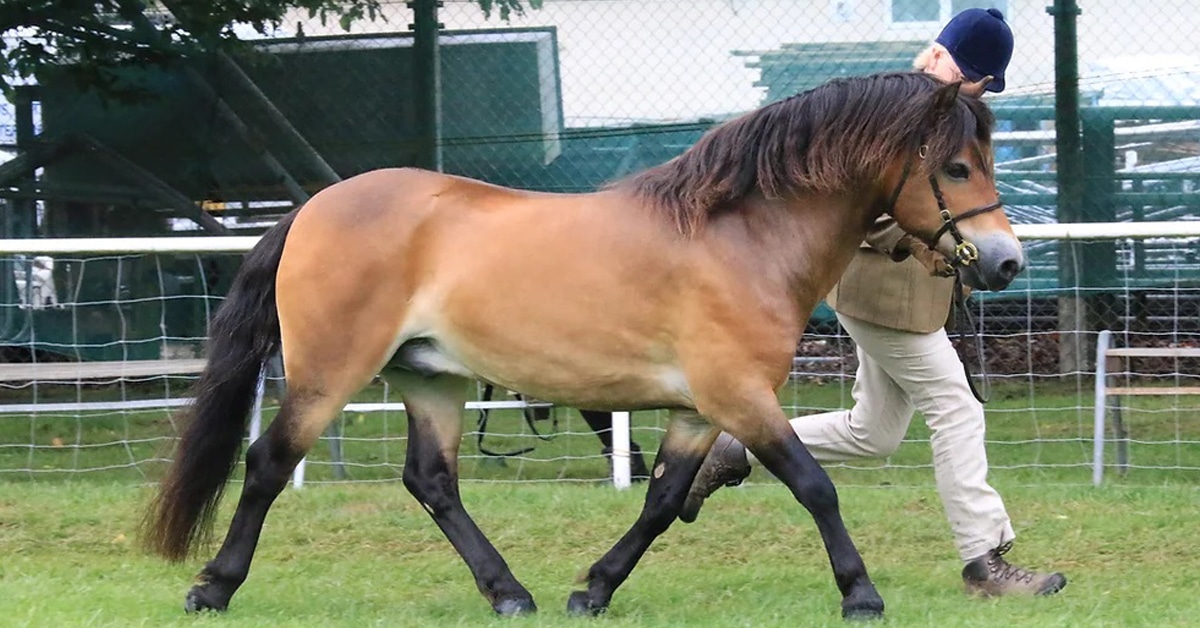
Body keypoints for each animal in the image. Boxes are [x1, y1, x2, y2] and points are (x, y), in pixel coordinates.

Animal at [140, 71, 1022, 619]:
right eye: (956, 165)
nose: (1005, 262)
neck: (738, 237)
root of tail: (314, 208)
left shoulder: (698, 409)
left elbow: (662, 502)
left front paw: (592, 590)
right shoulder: (739, 395)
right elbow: (815, 487)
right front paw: (860, 594)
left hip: (430, 380)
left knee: (432, 480)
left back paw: (509, 593)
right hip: (330, 374)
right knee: (268, 463)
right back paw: (213, 589)